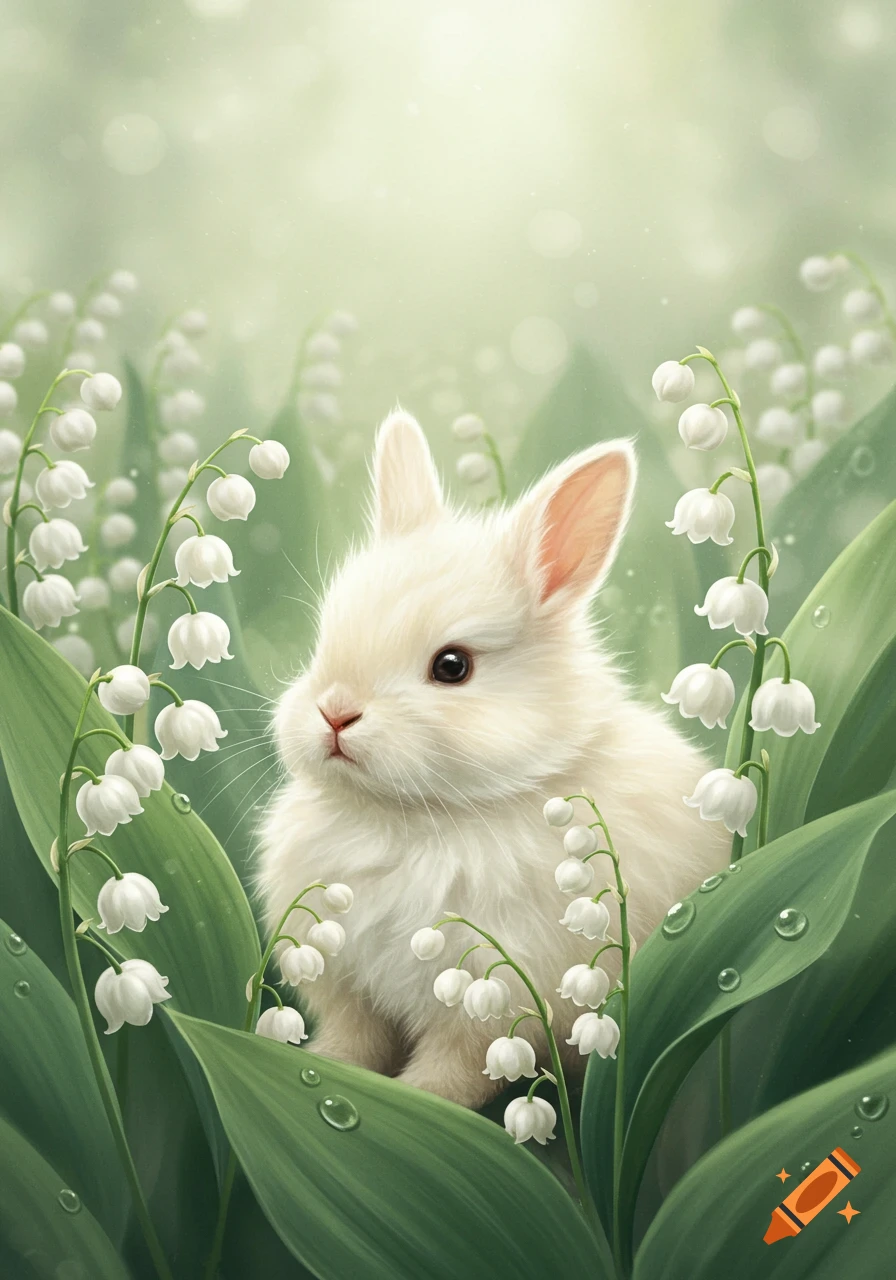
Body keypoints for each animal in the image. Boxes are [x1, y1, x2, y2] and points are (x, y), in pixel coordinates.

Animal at [257, 409, 729, 1110]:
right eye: (324, 638)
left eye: (452, 666)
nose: (335, 713)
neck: (408, 818)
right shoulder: (345, 981)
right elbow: (354, 1039)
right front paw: (325, 1070)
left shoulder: (493, 996)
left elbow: (457, 1065)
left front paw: (418, 1104)